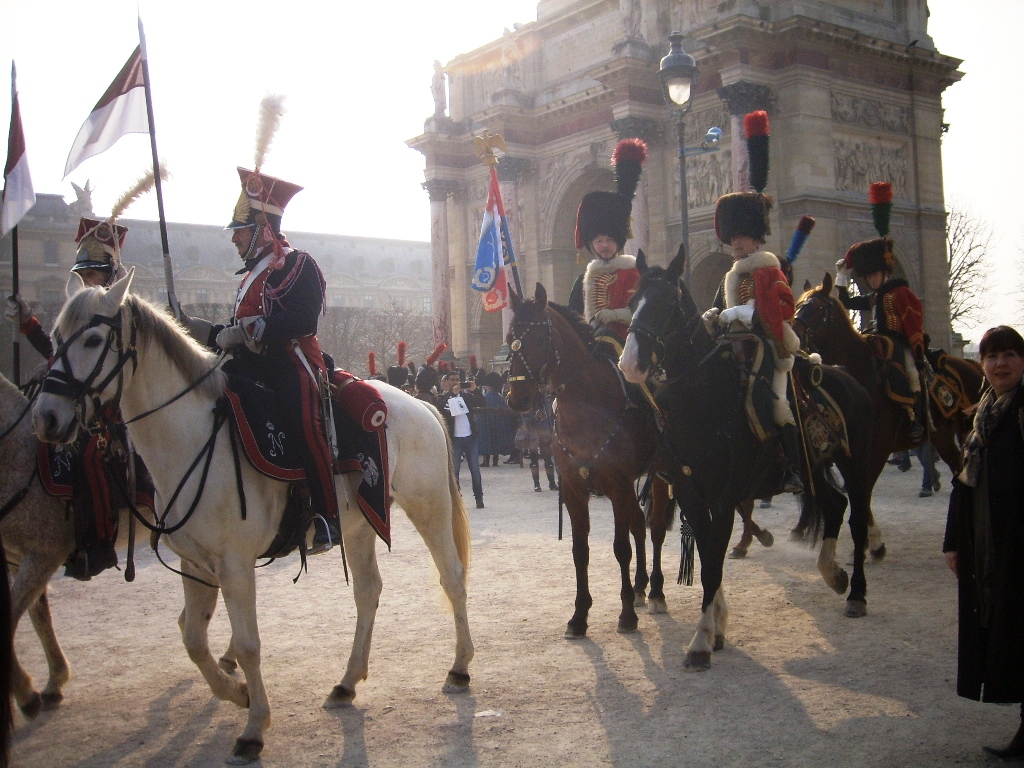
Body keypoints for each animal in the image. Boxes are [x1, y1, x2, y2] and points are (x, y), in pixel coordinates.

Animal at [32, 274, 471, 765]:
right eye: (55, 338)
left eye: (92, 339)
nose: (46, 417)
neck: (191, 437)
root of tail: (420, 405)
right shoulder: (196, 563)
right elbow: (193, 637)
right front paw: (236, 693)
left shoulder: (235, 565)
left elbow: (247, 644)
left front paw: (254, 727)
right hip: (359, 523)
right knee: (368, 592)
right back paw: (347, 681)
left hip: (428, 506)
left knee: (451, 577)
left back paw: (459, 667)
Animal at [507, 286, 667, 638]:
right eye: (510, 338)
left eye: (538, 338)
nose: (517, 399)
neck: (586, 408)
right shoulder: (574, 490)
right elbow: (580, 551)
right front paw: (579, 615)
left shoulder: (618, 486)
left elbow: (621, 548)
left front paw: (626, 615)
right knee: (639, 525)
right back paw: (640, 587)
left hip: (661, 477)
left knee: (655, 528)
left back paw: (656, 591)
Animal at [790, 274, 983, 557]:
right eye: (797, 305)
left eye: (819, 309)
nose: (793, 335)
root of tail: (973, 364)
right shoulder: (849, 450)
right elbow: (856, 488)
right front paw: (871, 541)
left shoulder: (878, 446)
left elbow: (864, 488)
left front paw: (872, 541)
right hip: (944, 436)